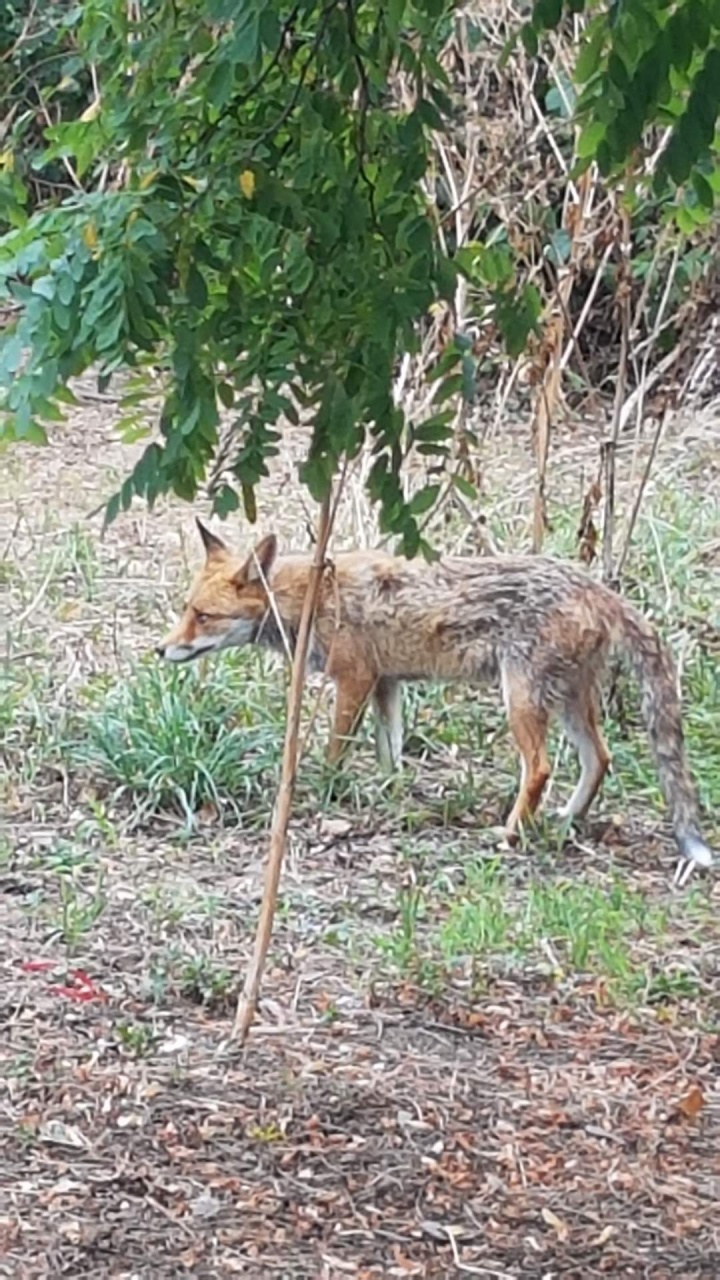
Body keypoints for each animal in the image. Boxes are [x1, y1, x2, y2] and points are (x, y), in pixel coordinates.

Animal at [157, 519, 713, 884]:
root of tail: (594, 585)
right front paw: (391, 795)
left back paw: (509, 833)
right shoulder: (387, 685)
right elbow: (391, 752)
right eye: (187, 609)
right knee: (599, 758)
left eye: (203, 616)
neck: (312, 595)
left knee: (540, 768)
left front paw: (324, 796)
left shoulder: (354, 681)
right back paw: (563, 823)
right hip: (570, 702)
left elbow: (335, 753)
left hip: (521, 700)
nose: (160, 650)